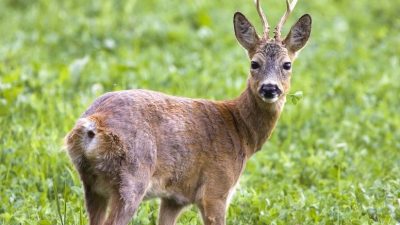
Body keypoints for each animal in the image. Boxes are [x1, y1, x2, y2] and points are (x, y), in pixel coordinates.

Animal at [65, 0, 312, 224]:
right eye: (254, 63)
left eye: (287, 64)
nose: (269, 88)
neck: (241, 131)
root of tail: (92, 124)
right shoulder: (216, 189)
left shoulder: (175, 198)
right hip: (131, 178)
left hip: (92, 185)